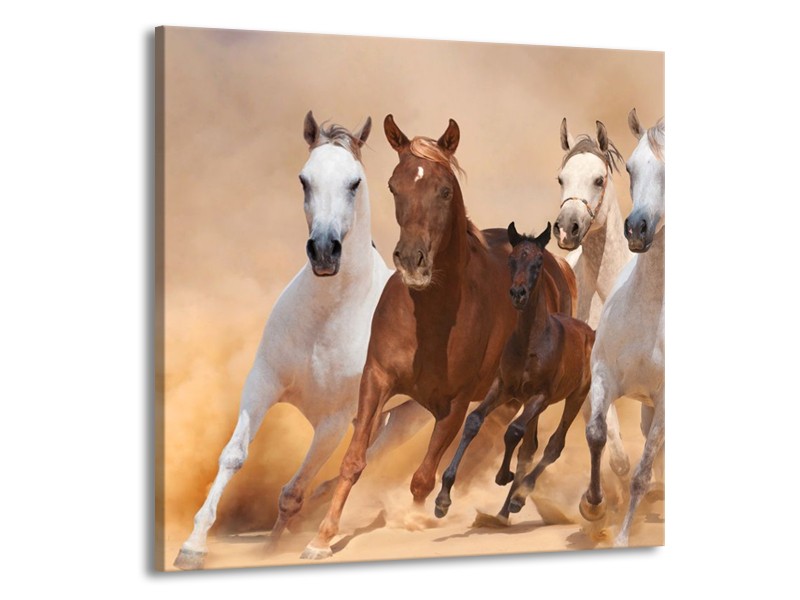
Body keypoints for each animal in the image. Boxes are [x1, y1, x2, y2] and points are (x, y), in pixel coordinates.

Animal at [173, 111, 431, 570]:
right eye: (304, 179)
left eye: (355, 182)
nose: (324, 251)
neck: (325, 319)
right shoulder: (261, 385)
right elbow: (234, 456)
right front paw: (194, 545)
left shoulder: (333, 421)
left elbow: (293, 491)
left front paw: (283, 544)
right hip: (384, 415)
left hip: (411, 417)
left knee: (368, 459)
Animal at [300, 115, 575, 560]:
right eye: (394, 186)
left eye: (445, 190)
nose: (413, 261)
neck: (430, 319)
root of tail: (555, 264)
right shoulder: (376, 380)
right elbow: (354, 460)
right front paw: (321, 538)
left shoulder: (455, 404)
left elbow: (422, 478)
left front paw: (413, 524)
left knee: (528, 442)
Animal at [435, 222, 593, 525]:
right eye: (512, 259)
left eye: (539, 261)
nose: (518, 294)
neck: (530, 342)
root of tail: (590, 331)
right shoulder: (503, 388)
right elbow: (473, 421)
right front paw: (442, 499)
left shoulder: (540, 395)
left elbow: (513, 431)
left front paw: (502, 476)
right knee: (530, 446)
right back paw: (504, 509)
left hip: (575, 397)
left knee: (553, 444)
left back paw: (518, 498)